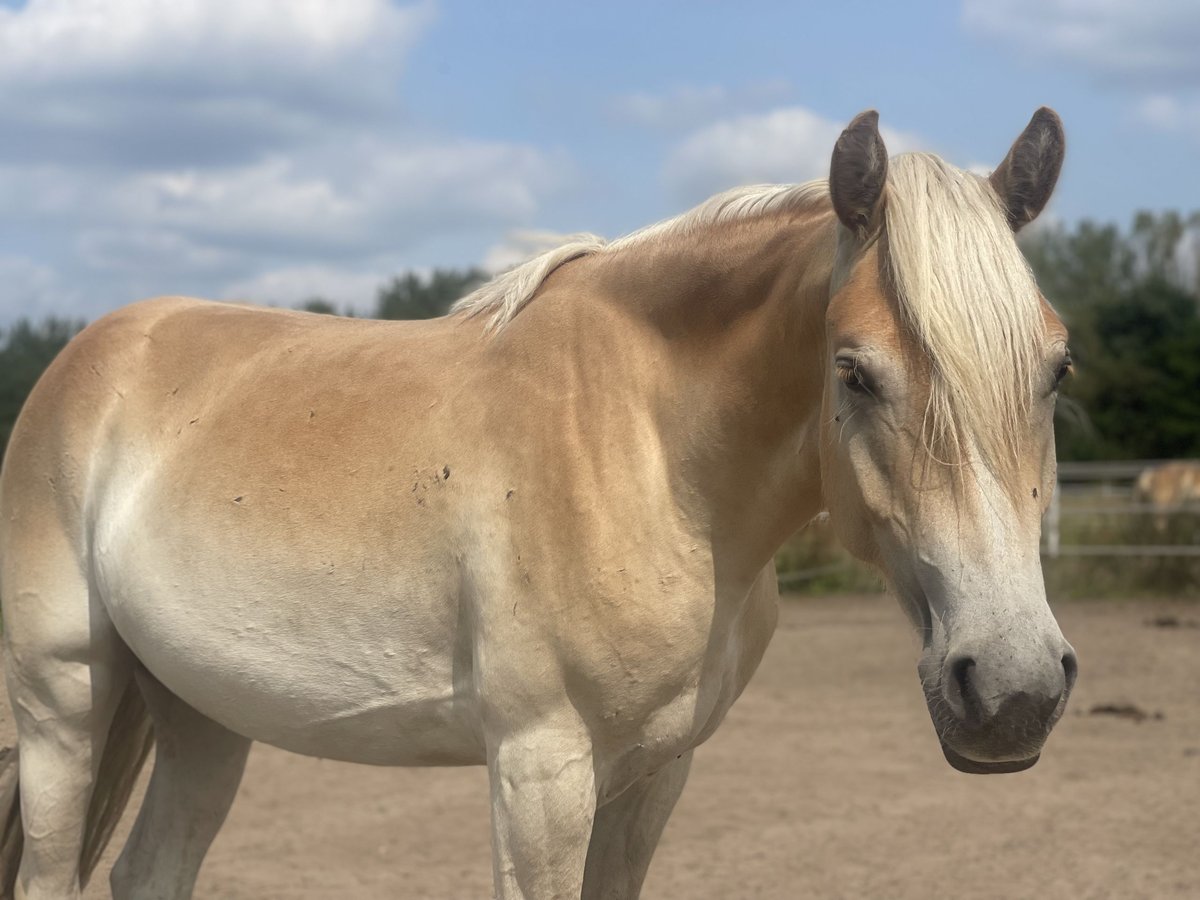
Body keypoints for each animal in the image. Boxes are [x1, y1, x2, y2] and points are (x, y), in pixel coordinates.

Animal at [0, 111, 1080, 900]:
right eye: (854, 372)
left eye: (1057, 370)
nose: (1014, 690)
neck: (648, 449)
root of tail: (86, 360)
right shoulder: (540, 771)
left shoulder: (655, 771)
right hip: (64, 708)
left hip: (203, 715)